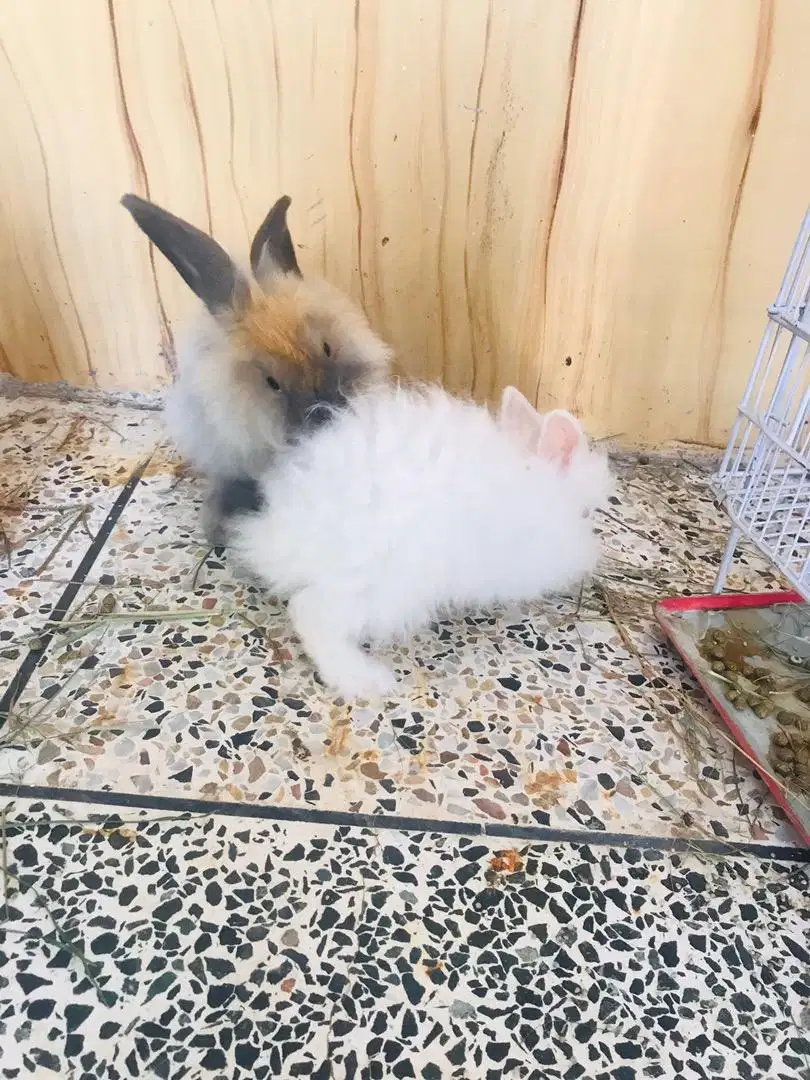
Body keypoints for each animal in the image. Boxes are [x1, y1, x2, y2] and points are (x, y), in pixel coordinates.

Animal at [225, 382, 613, 699]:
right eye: (584, 514)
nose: (591, 560)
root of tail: (281, 538)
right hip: (382, 586)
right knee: (310, 613)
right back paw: (363, 680)